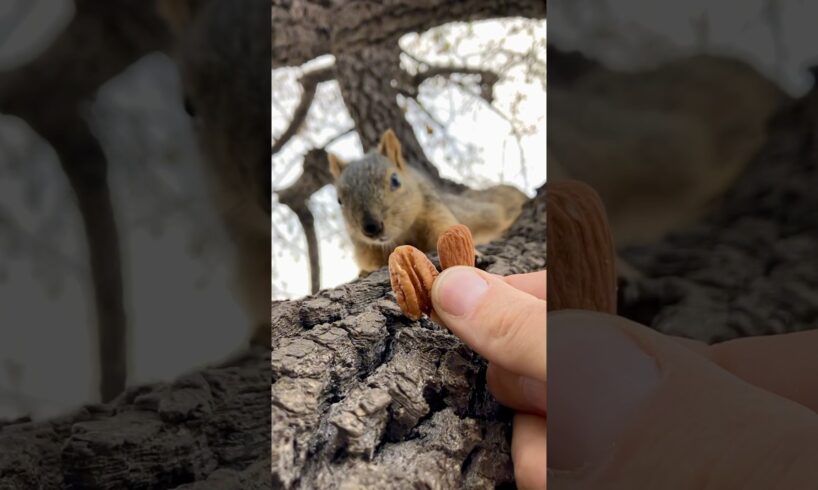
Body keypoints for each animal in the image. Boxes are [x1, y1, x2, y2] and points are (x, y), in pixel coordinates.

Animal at [328, 129, 524, 272]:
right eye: (339, 200)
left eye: (395, 180)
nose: (371, 227)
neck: (404, 234)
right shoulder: (366, 249)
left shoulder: (434, 211)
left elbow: (447, 230)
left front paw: (475, 255)